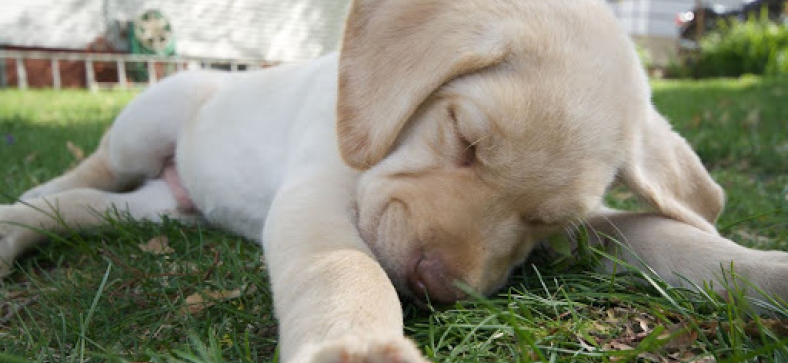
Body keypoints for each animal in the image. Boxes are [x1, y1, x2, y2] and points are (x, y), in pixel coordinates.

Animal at [1, 0, 788, 362]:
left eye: (545, 222)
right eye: (465, 139)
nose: (436, 285)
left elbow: (663, 234)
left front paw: (763, 270)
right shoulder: (315, 197)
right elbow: (342, 270)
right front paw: (357, 347)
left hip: (162, 211)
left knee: (87, 206)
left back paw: (18, 225)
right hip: (149, 123)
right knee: (85, 172)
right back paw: (18, 209)